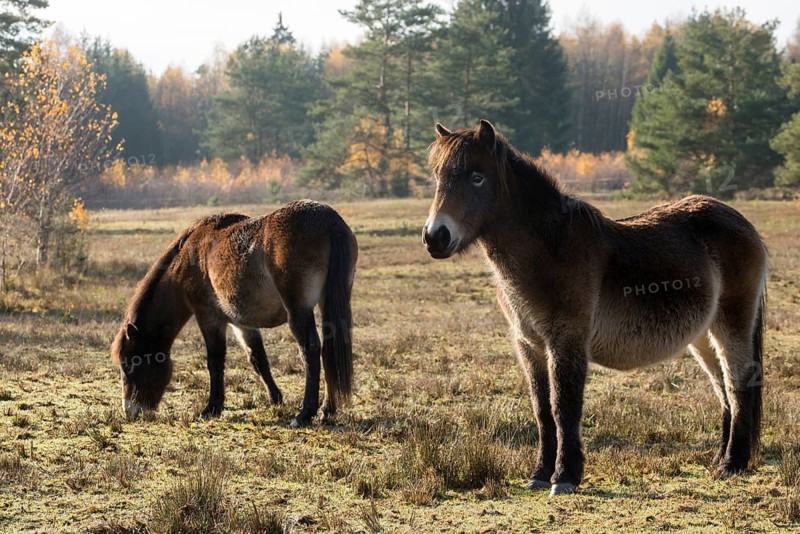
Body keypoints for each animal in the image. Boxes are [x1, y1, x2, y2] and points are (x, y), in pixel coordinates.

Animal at [110, 200, 358, 428]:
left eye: (131, 363)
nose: (131, 411)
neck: (190, 258)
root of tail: (329, 223)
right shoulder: (242, 323)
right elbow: (257, 358)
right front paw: (275, 399)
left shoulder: (209, 317)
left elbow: (215, 360)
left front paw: (212, 407)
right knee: (329, 349)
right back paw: (327, 410)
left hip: (298, 311)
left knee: (310, 349)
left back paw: (305, 414)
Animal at [422, 120, 767, 496]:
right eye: (438, 176)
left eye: (477, 177)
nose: (435, 237)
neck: (550, 251)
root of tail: (742, 222)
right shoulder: (529, 345)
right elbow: (542, 409)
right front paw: (540, 474)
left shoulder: (567, 340)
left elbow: (564, 408)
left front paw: (565, 476)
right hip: (703, 335)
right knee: (723, 389)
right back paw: (720, 458)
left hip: (732, 323)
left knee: (738, 383)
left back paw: (733, 464)